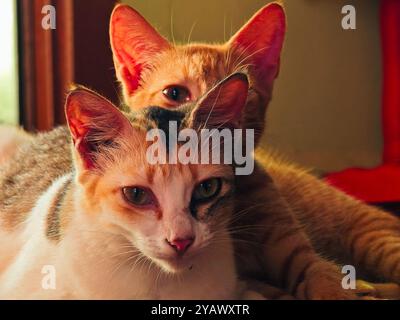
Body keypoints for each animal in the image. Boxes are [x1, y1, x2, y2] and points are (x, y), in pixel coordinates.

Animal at [108, 2, 400, 298]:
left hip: (371, 236)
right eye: (175, 94)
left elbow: (324, 279)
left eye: (243, 91)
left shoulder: (297, 252)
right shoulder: (241, 279)